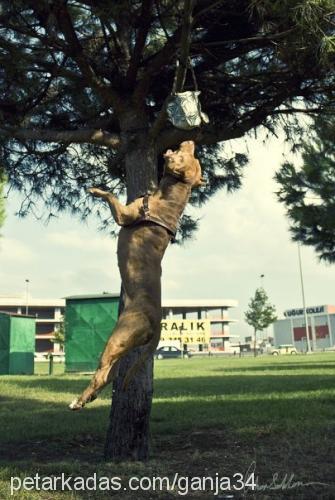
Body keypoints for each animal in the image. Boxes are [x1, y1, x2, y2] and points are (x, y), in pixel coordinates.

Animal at [69, 141, 203, 410]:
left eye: (185, 156)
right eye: (192, 155)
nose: (191, 141)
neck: (169, 196)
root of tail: (157, 323)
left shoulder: (124, 215)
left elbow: (111, 196)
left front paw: (97, 190)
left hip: (117, 338)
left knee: (102, 372)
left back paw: (79, 400)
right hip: (124, 345)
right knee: (109, 375)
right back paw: (87, 398)